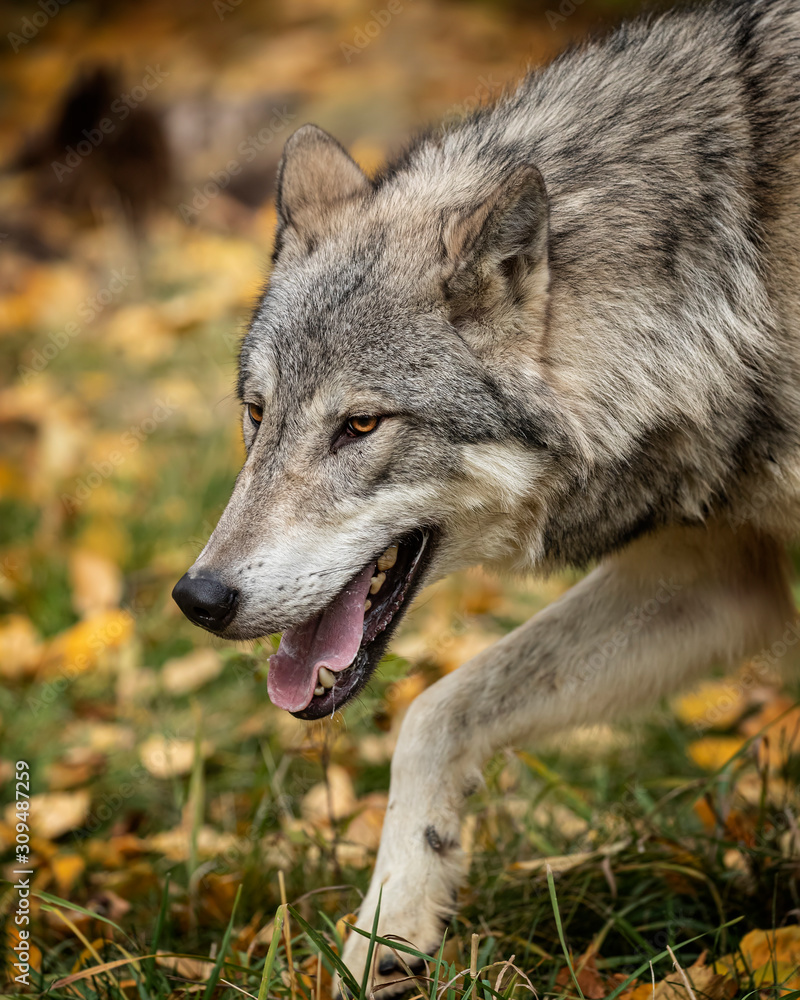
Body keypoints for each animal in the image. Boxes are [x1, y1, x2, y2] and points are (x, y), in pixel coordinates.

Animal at [172, 0, 800, 990]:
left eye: (360, 425)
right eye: (258, 412)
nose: (198, 598)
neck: (734, 266)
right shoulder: (721, 574)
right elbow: (434, 713)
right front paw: (385, 937)